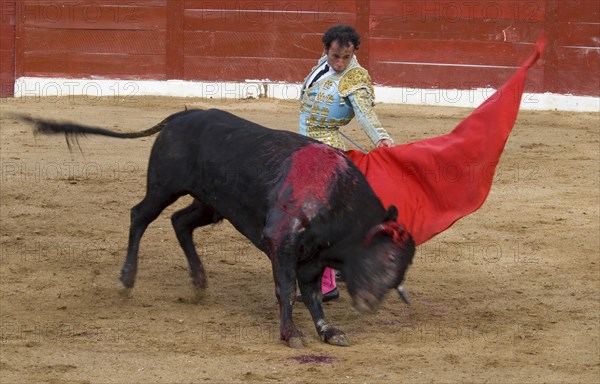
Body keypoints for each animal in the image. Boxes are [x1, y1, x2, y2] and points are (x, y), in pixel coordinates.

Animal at [19, 109, 412, 348]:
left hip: (210, 204)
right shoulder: (282, 243)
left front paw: (329, 332)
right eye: (390, 260)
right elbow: (286, 290)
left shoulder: (313, 258)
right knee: (139, 216)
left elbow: (313, 295)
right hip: (164, 186)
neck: (337, 198)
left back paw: (198, 281)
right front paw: (291, 335)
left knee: (180, 222)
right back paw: (126, 279)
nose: (369, 305)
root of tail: (182, 115)